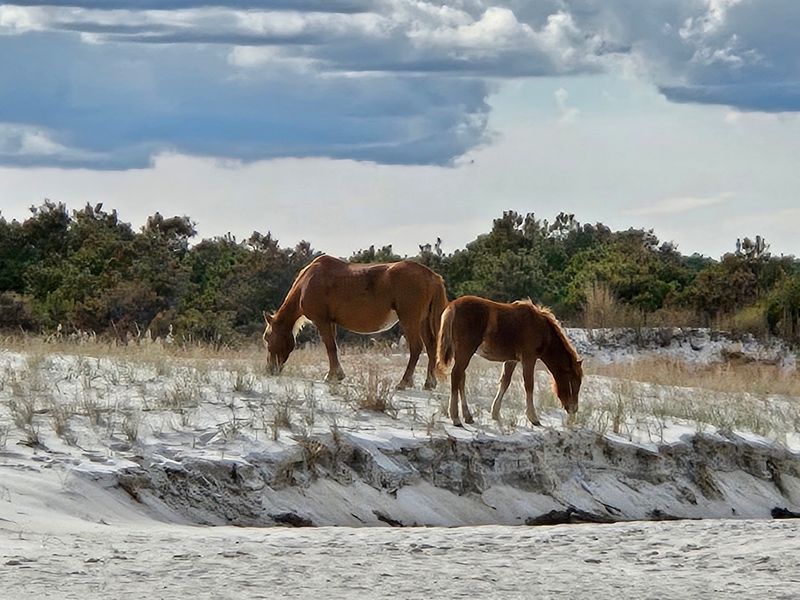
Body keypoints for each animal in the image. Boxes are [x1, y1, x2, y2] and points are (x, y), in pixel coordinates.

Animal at [263, 254, 448, 390]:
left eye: (267, 338)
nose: (270, 370)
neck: (308, 281)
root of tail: (432, 276)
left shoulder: (322, 321)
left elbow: (330, 347)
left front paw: (333, 376)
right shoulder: (330, 322)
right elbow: (333, 347)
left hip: (410, 319)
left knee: (416, 348)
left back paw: (403, 382)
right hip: (423, 321)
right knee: (431, 347)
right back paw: (429, 383)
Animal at [436, 295, 583, 427]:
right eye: (573, 381)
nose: (574, 409)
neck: (541, 328)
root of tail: (452, 306)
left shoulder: (511, 360)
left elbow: (505, 382)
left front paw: (495, 413)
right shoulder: (529, 358)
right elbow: (529, 385)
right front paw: (533, 418)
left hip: (462, 354)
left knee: (461, 378)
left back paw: (468, 416)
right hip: (465, 352)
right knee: (456, 375)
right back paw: (455, 418)